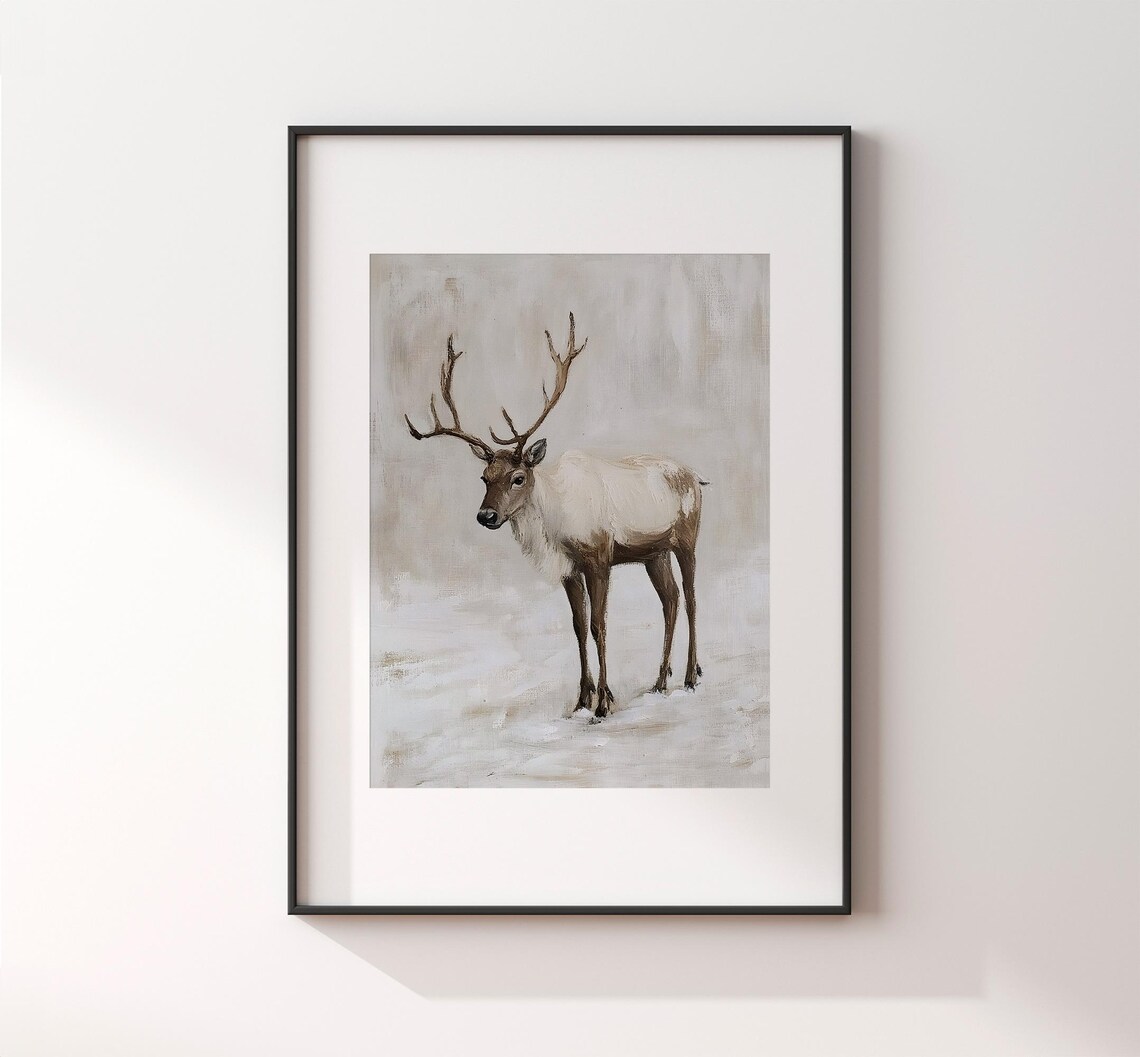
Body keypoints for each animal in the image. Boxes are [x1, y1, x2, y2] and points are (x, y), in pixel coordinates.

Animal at [404, 314, 704, 721]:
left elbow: (599, 626)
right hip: (653, 553)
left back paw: (690, 676)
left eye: (518, 477)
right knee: (669, 601)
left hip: (687, 538)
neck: (555, 529)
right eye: (484, 478)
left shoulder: (598, 557)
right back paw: (659, 682)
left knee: (690, 599)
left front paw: (603, 704)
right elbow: (577, 627)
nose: (486, 515)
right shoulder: (569, 568)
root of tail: (696, 476)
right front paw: (581, 700)